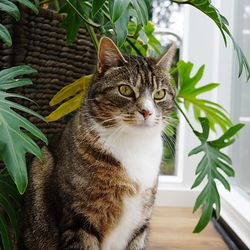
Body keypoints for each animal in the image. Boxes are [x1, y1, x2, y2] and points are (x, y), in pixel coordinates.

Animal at [23, 36, 176, 249]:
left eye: (160, 94)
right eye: (125, 89)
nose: (147, 111)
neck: (134, 146)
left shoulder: (140, 225)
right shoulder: (78, 219)